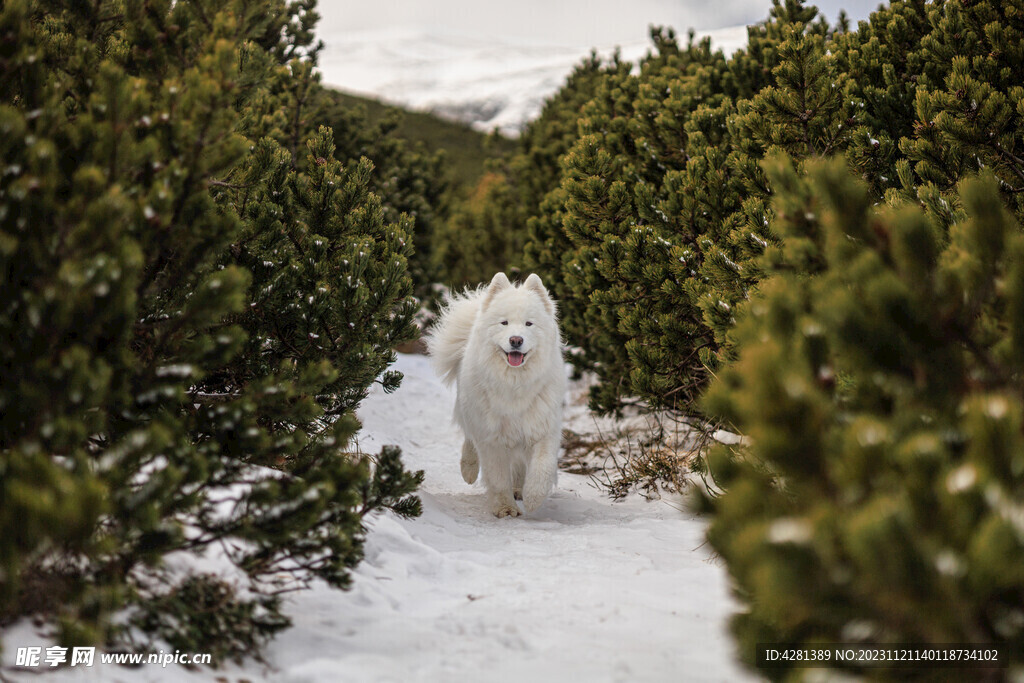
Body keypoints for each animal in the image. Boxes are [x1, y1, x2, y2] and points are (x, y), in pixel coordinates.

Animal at [425, 272, 565, 518]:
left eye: (529, 323)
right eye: (504, 323)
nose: (516, 340)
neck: (515, 384)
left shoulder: (542, 426)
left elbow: (542, 466)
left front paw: (533, 498)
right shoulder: (492, 437)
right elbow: (498, 478)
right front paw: (505, 508)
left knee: (519, 466)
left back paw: (519, 489)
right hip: (471, 413)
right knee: (470, 441)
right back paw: (469, 470)